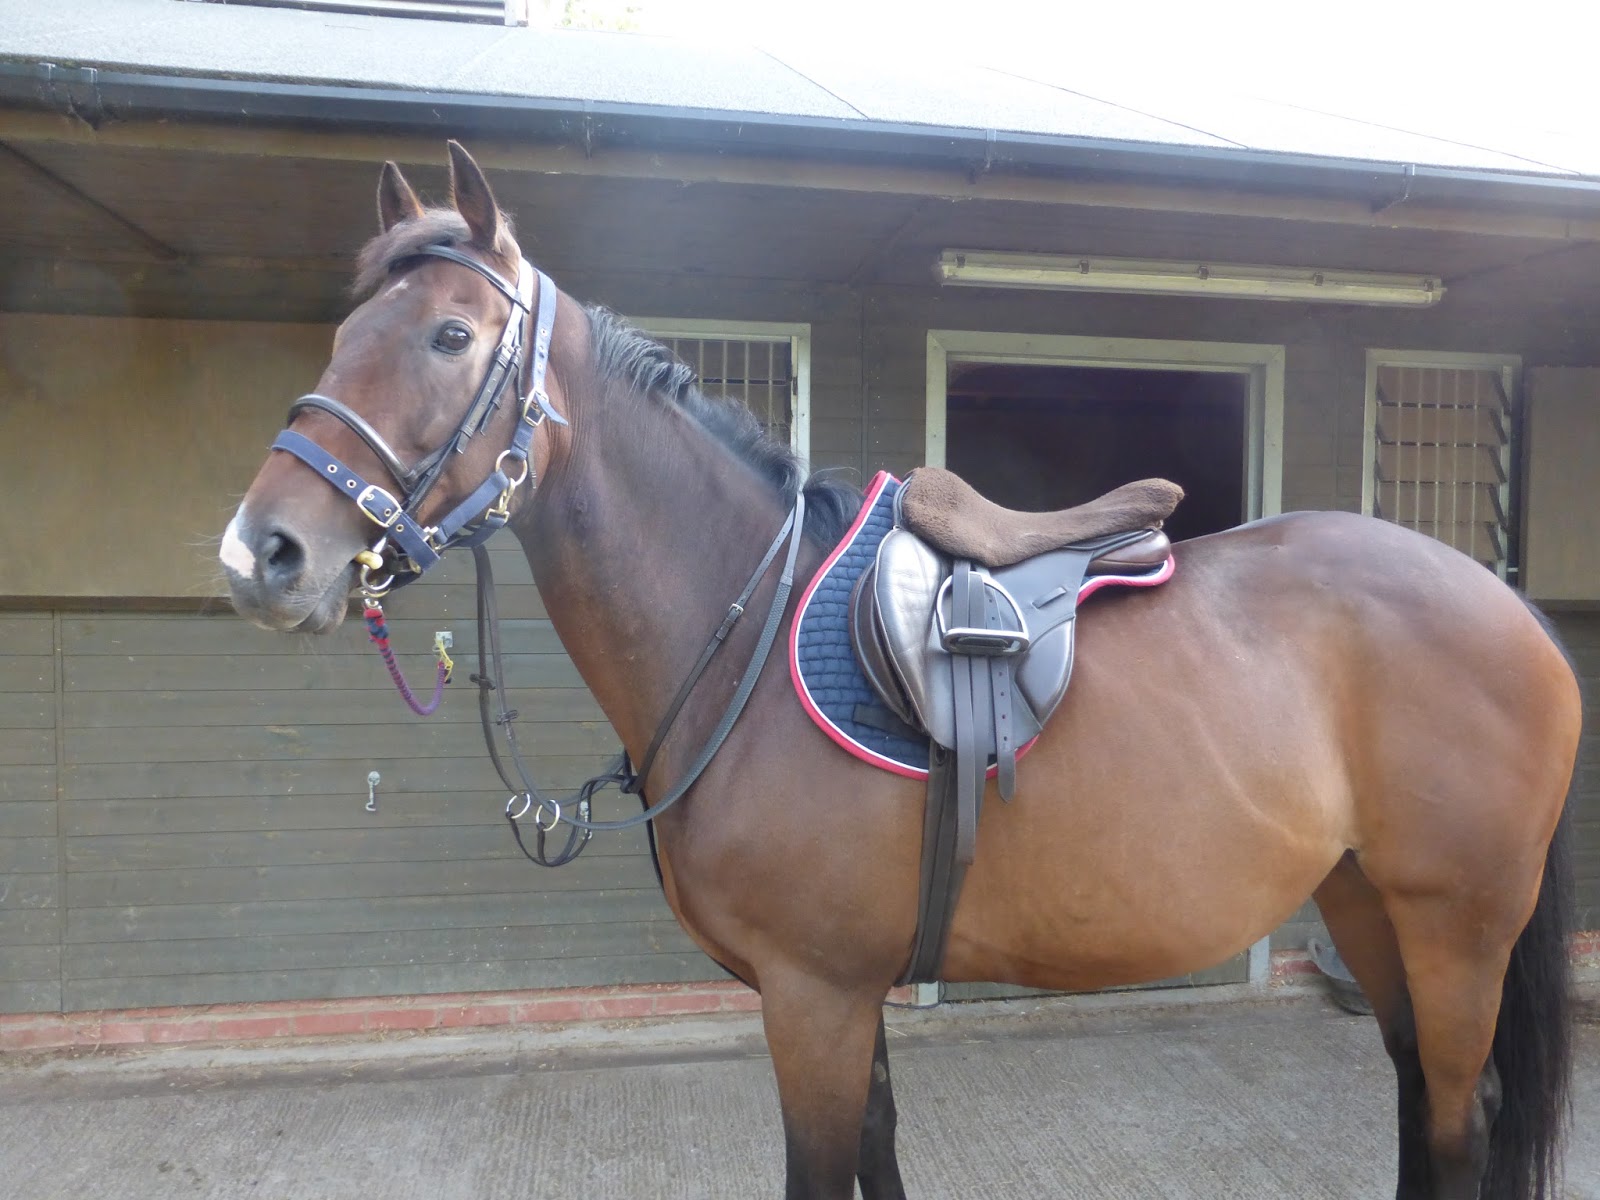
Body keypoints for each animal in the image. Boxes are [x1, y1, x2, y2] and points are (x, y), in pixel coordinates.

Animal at [219, 143, 1579, 1200]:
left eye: (450, 334)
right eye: (344, 334)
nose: (262, 553)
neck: (744, 628)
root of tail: (1511, 610)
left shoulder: (811, 994)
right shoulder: (840, 994)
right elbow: (878, 1150)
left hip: (1456, 925)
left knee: (1453, 1119)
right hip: (1367, 904)